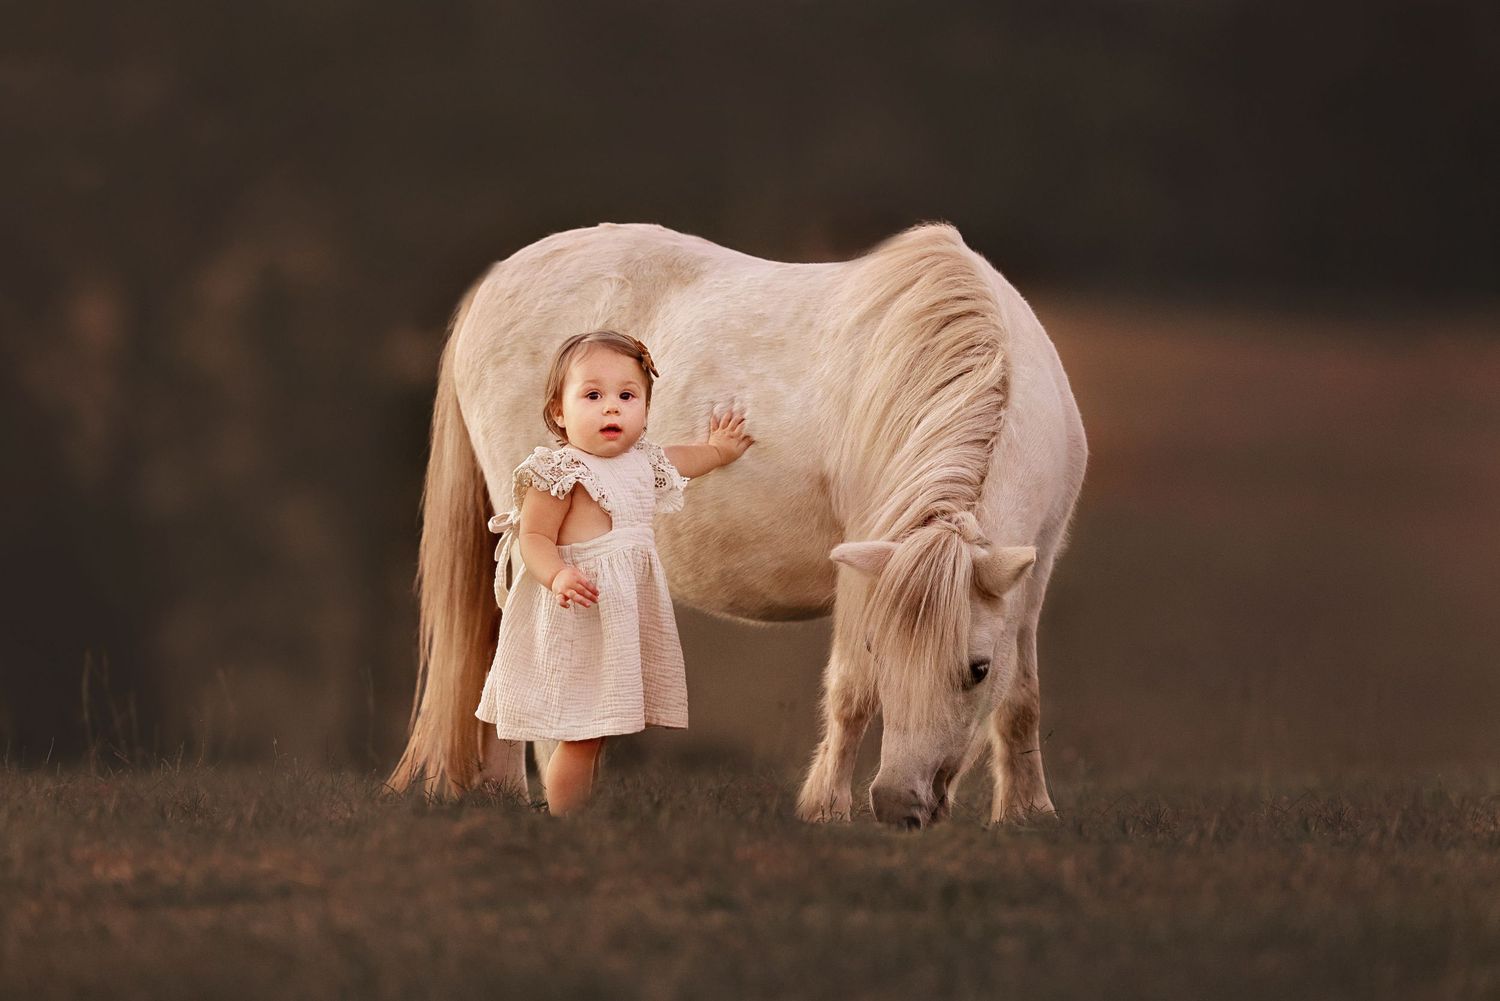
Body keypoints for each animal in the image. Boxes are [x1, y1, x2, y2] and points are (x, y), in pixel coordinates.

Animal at [385, 221, 1087, 828]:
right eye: (880, 651)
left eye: (977, 669)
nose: (897, 807)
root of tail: (498, 278)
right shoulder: (866, 564)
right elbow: (851, 693)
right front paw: (825, 810)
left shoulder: (1035, 570)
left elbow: (1022, 698)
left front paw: (1028, 812)